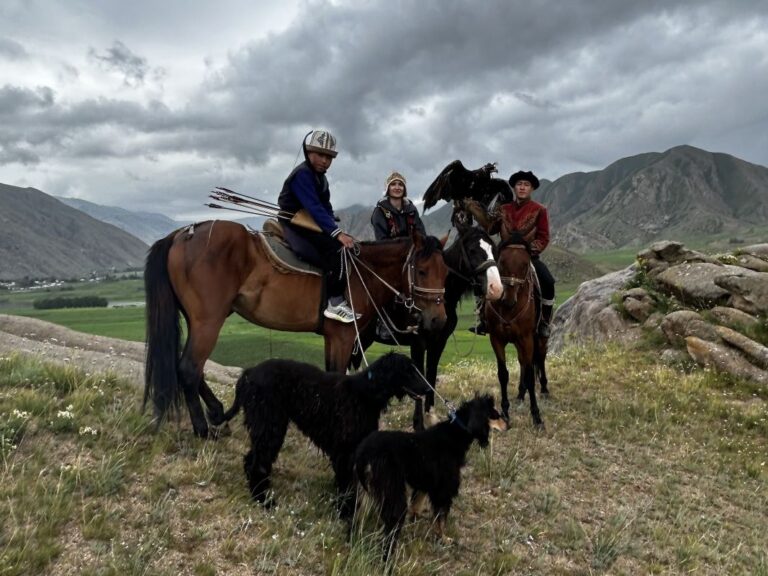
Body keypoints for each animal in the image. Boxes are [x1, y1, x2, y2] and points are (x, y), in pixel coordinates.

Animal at [142, 220, 450, 436]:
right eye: (422, 271)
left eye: (446, 272)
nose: (438, 320)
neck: (362, 272)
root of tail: (182, 234)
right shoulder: (343, 336)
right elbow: (337, 376)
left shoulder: (333, 337)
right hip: (208, 320)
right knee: (189, 368)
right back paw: (203, 429)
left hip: (199, 320)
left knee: (188, 366)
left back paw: (217, 413)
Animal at [213, 354, 428, 516]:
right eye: (408, 371)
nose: (427, 389)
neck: (364, 392)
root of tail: (249, 373)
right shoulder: (345, 451)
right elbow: (346, 484)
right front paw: (345, 511)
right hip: (270, 427)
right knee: (256, 463)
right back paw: (263, 499)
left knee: (253, 461)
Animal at [356, 392, 510, 560]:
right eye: (495, 415)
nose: (508, 425)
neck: (456, 434)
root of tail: (365, 453)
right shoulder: (443, 488)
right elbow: (441, 518)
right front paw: (442, 538)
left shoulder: (426, 482)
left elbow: (418, 505)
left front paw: (416, 519)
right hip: (392, 491)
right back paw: (388, 556)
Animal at [486, 233, 544, 428]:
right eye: (501, 262)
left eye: (525, 264)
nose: (508, 299)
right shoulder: (496, 339)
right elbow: (503, 374)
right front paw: (505, 413)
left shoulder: (527, 339)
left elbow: (531, 376)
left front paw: (536, 416)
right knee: (522, 363)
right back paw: (520, 394)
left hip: (539, 339)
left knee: (539, 360)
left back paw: (545, 389)